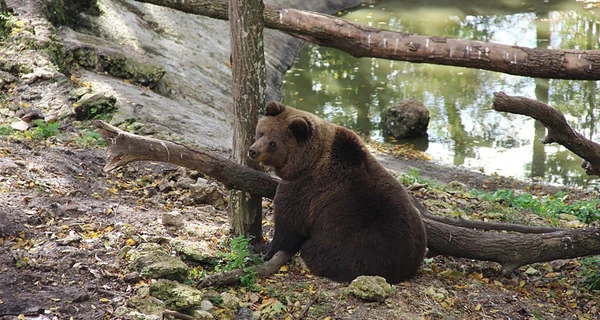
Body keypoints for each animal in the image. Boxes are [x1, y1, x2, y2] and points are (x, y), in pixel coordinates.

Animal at [247, 101, 426, 284]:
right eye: (261, 132)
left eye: (273, 143)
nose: (253, 151)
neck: (308, 162)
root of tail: (407, 267)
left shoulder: (303, 189)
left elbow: (288, 227)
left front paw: (262, 247)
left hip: (359, 245)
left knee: (319, 253)